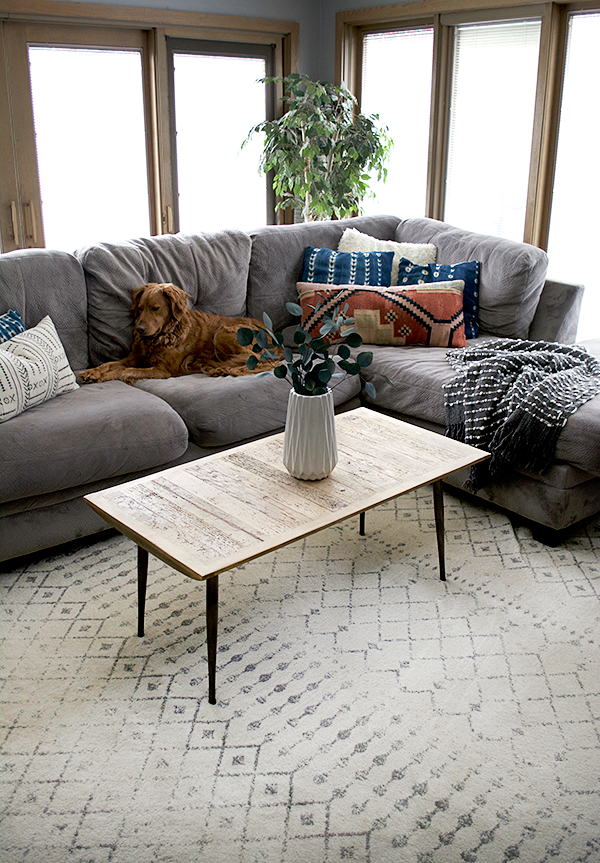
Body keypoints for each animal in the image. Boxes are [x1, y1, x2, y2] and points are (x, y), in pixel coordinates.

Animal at [77, 284, 278, 384]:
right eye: (140, 308)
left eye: (155, 308)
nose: (139, 329)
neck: (159, 338)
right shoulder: (133, 357)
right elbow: (109, 364)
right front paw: (92, 372)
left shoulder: (163, 370)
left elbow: (123, 370)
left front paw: (104, 376)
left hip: (223, 331)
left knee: (253, 359)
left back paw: (219, 367)